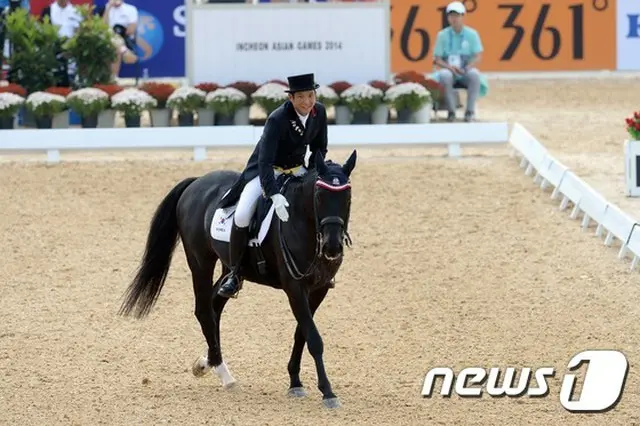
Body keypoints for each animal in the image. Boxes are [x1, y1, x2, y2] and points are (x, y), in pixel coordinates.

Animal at [117, 150, 358, 410]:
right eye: (319, 196)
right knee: (204, 310)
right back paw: (225, 374)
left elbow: (301, 333)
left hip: (229, 268)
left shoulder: (319, 289)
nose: (332, 247)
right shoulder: (294, 288)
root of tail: (196, 182)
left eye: (347, 197)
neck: (303, 223)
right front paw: (328, 392)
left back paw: (207, 362)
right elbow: (313, 338)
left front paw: (295, 382)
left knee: (215, 305)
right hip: (200, 261)